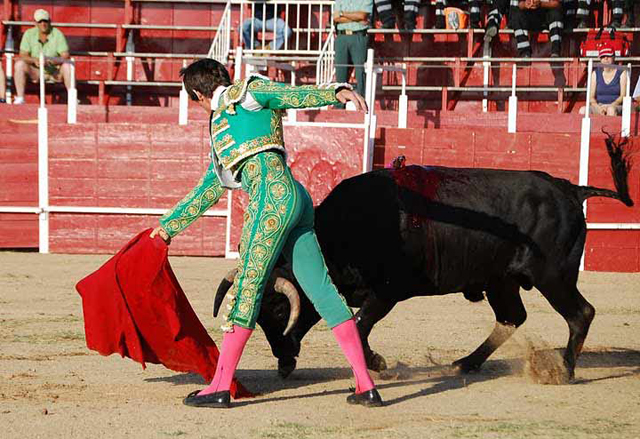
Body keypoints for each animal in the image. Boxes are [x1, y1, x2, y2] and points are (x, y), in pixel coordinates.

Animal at [214, 136, 632, 384]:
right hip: (502, 280)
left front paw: (378, 364)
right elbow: (345, 321)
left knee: (580, 313)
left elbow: (359, 325)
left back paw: (565, 369)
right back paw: (465, 364)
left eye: (278, 310)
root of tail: (569, 189)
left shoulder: (388, 292)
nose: (283, 361)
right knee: (512, 317)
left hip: (553, 276)